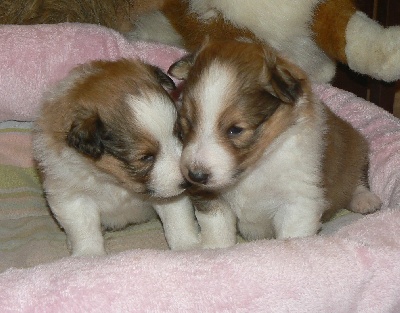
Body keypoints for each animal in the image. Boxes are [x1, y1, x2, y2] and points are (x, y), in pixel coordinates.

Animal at [33, 58, 199, 256]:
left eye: (180, 134)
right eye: (146, 157)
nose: (188, 182)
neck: (114, 180)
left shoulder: (164, 191)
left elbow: (178, 219)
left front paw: (188, 247)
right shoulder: (71, 196)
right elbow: (84, 229)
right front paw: (88, 255)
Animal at [169, 39, 382, 249]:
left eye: (235, 130)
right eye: (187, 122)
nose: (195, 176)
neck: (254, 169)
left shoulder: (298, 200)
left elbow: (291, 236)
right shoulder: (211, 198)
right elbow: (218, 228)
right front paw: (213, 250)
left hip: (356, 146)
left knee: (359, 177)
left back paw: (365, 200)